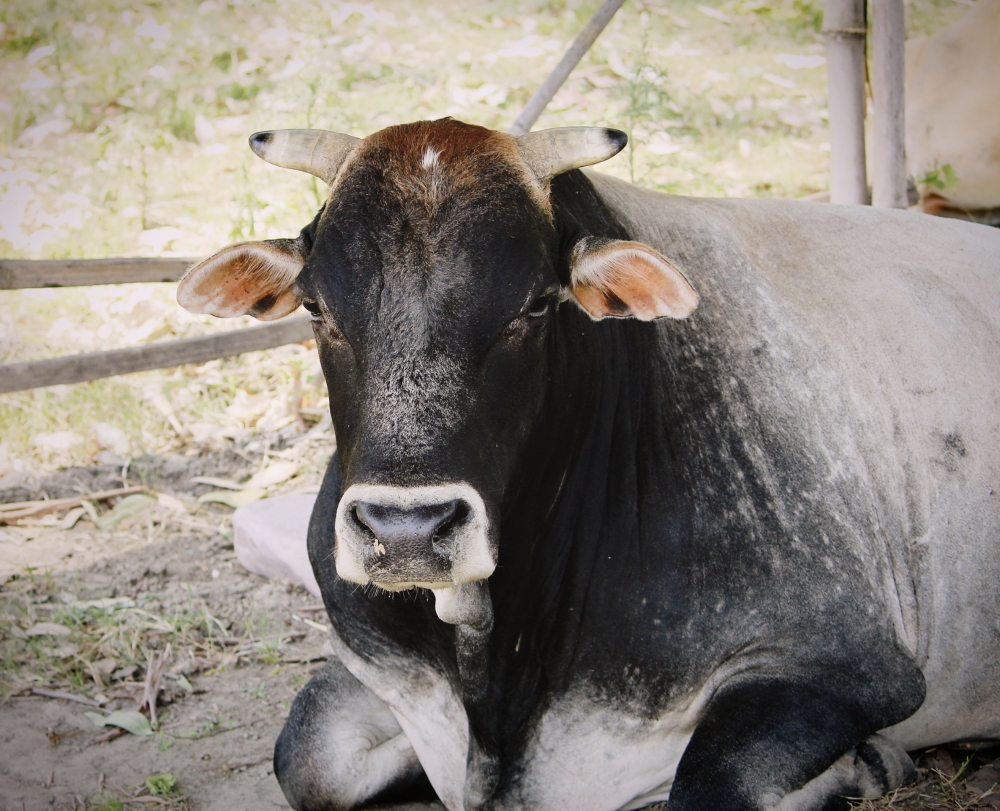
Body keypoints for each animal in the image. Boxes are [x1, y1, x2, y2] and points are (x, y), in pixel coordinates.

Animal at [176, 118, 1000, 811]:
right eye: (316, 307)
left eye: (536, 306)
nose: (406, 532)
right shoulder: (374, 671)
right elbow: (304, 760)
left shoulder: (849, 666)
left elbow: (707, 786)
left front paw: (864, 764)